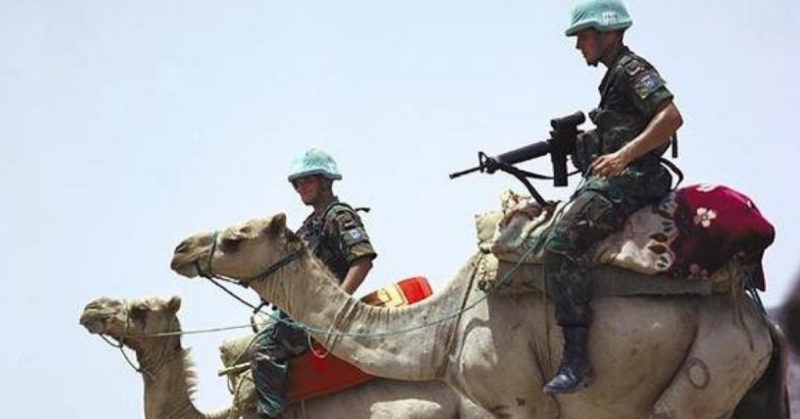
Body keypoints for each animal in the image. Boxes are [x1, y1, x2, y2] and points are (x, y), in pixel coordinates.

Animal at [170, 215, 788, 418]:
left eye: (236, 237)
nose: (179, 248)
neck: (442, 328)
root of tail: (766, 327)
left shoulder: (523, 398)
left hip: (713, 363)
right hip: (741, 386)